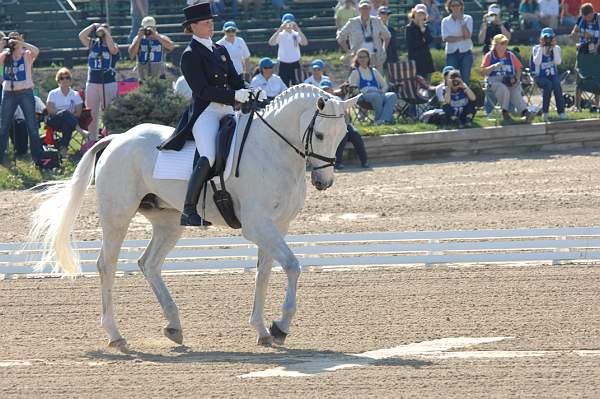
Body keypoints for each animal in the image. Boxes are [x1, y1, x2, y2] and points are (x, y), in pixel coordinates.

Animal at [30, 83, 358, 346]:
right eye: (319, 134)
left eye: (343, 135)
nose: (323, 182)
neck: (273, 149)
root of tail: (117, 138)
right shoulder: (257, 225)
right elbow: (292, 266)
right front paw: (281, 327)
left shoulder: (279, 225)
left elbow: (264, 273)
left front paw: (263, 330)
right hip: (117, 216)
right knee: (106, 265)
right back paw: (115, 334)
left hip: (168, 221)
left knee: (149, 264)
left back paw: (174, 326)